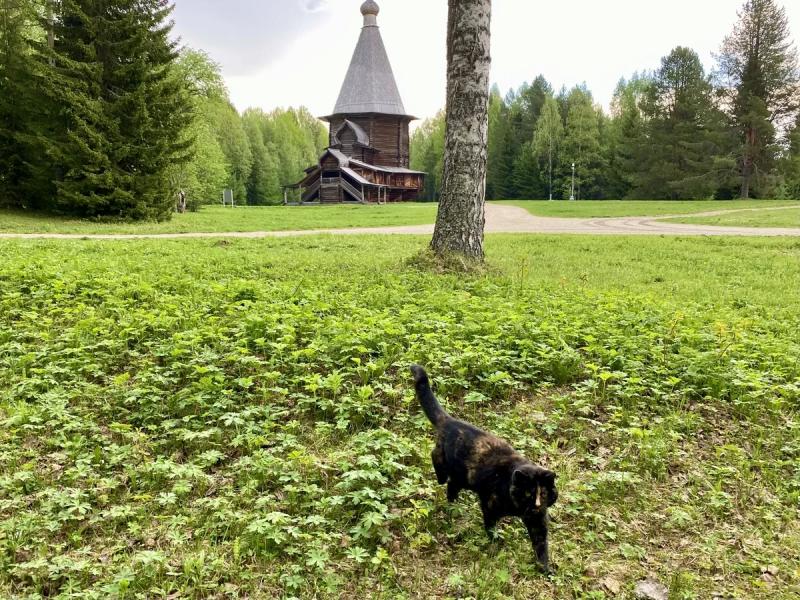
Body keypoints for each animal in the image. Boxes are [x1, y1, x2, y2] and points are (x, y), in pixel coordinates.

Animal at [412, 366, 556, 572]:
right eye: (528, 493)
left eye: (543, 494)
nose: (536, 505)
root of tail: (450, 420)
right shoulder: (489, 505)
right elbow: (490, 527)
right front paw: (495, 543)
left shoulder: (538, 521)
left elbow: (541, 544)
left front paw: (545, 569)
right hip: (446, 460)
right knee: (435, 458)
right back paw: (441, 479)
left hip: (462, 478)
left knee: (451, 486)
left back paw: (452, 504)